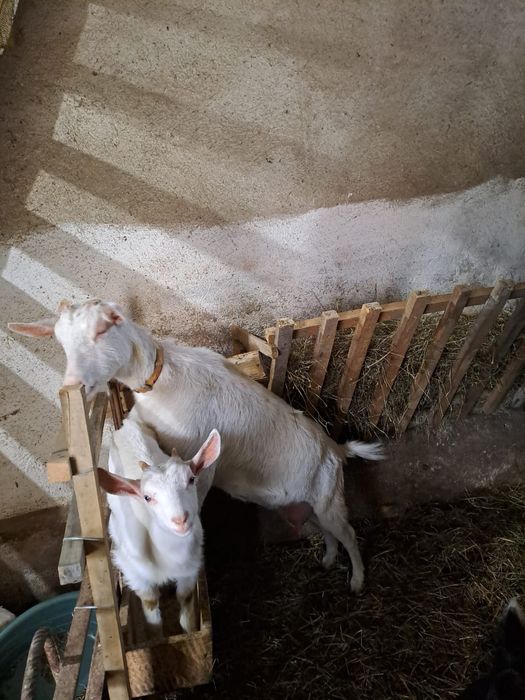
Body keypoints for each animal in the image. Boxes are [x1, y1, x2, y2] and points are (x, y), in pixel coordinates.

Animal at [9, 299, 384, 593]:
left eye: (102, 330)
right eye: (60, 341)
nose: (74, 384)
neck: (162, 382)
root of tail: (336, 450)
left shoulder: (199, 459)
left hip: (330, 498)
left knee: (349, 532)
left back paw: (357, 581)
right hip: (308, 504)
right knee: (330, 533)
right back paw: (327, 561)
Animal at [100, 416, 221, 635]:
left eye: (191, 479)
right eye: (147, 497)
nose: (180, 520)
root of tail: (127, 425)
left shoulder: (189, 569)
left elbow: (185, 600)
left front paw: (189, 632)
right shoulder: (135, 573)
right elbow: (151, 606)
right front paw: (157, 634)